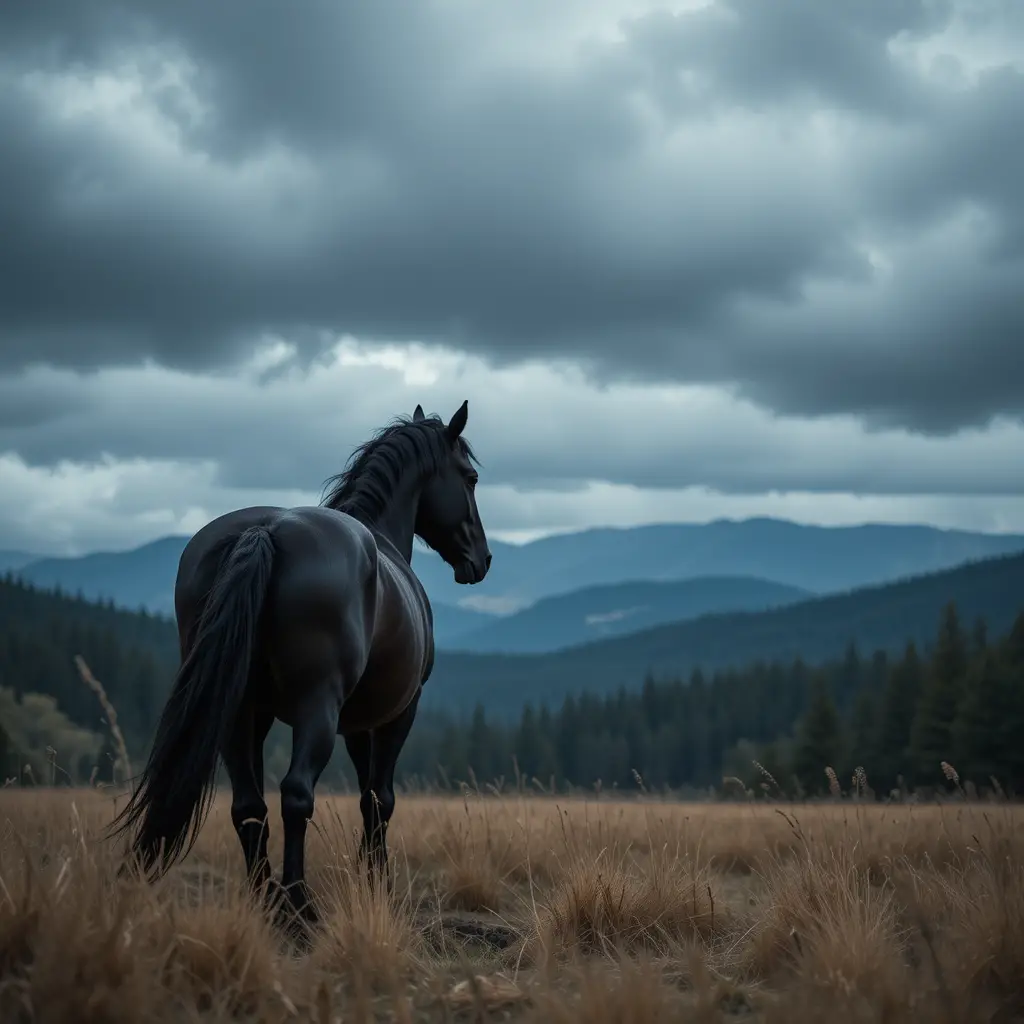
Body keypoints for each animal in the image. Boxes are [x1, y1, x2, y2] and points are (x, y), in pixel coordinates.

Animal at [109, 401, 491, 928]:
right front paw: (379, 884)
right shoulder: (397, 713)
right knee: (295, 796)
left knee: (248, 806)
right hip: (316, 711)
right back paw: (297, 903)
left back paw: (263, 900)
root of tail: (265, 530)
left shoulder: (354, 724)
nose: (482, 559)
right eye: (470, 477)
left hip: (240, 712)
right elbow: (380, 799)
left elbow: (364, 797)